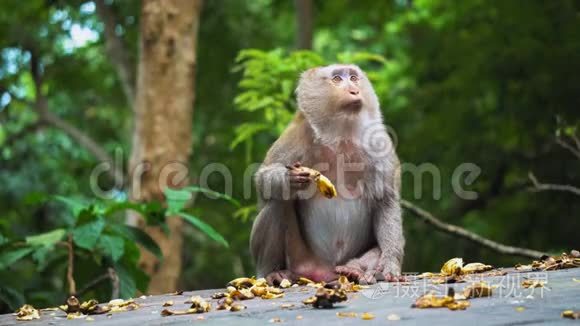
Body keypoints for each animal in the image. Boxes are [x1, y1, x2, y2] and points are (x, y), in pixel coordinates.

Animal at [249, 63, 404, 286]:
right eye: (337, 79)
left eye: (354, 78)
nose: (354, 90)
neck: (341, 136)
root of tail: (325, 273)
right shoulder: (297, 132)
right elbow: (263, 180)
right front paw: (289, 180)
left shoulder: (378, 142)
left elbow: (386, 200)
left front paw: (390, 263)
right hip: (300, 259)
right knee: (276, 203)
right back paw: (273, 273)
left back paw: (355, 270)